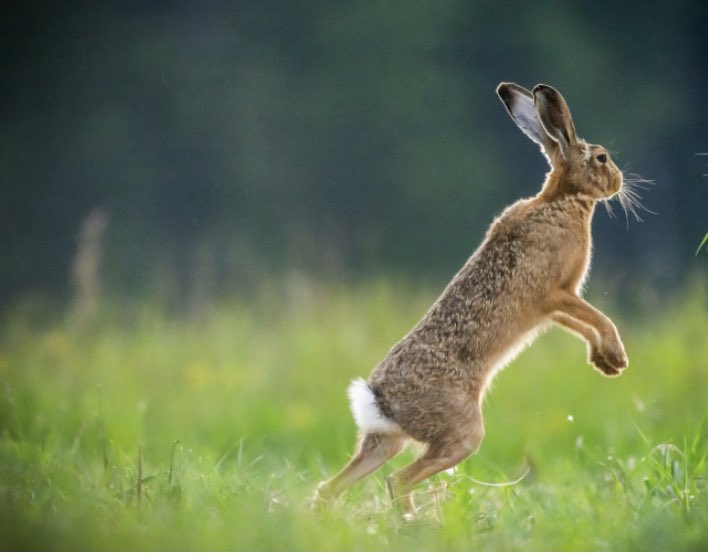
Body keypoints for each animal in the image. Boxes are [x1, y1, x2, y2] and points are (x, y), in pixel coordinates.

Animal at [314, 83, 629, 516]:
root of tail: (379, 400)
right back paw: (413, 521)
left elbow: (582, 324)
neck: (562, 200)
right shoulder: (556, 292)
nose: (618, 181)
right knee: (399, 479)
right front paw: (616, 358)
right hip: (463, 433)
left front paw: (602, 362)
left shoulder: (551, 308)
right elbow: (598, 317)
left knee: (333, 487)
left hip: (386, 441)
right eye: (601, 157)